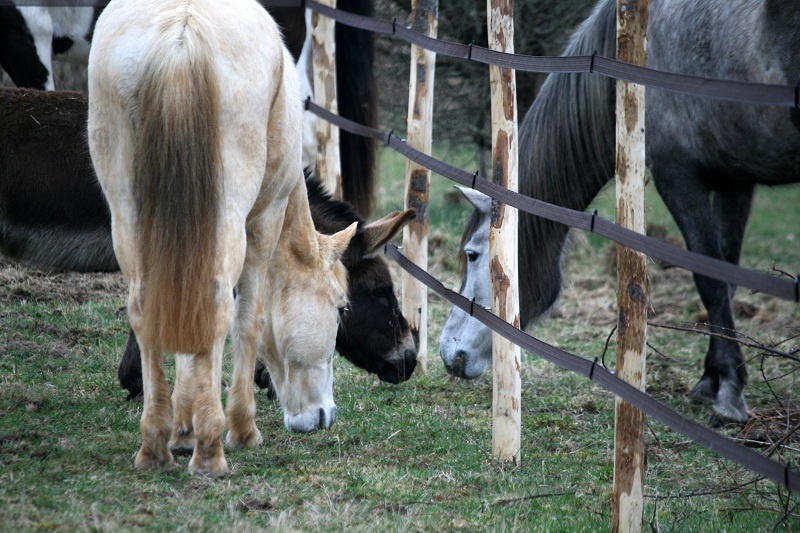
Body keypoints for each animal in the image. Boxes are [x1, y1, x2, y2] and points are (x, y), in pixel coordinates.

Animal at [85, 0, 356, 474]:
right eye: (340, 309)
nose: (324, 415)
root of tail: (182, 35)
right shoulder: (264, 220)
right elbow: (247, 319)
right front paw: (237, 429)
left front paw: (182, 429)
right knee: (216, 306)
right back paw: (212, 450)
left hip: (129, 213)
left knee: (147, 306)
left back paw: (155, 445)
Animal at [440, 0, 800, 424]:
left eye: (472, 254)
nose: (447, 352)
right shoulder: (735, 180)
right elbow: (725, 277)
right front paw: (711, 379)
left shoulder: (679, 178)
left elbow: (710, 280)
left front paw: (728, 391)